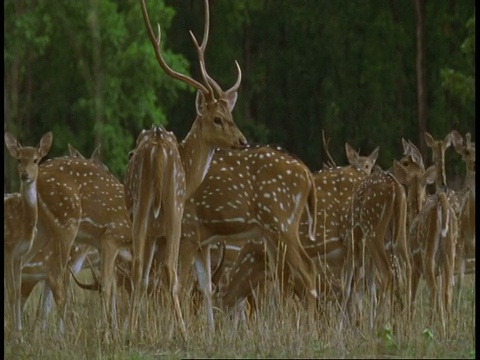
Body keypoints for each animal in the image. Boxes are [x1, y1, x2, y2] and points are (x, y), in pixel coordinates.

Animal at [124, 0, 246, 336]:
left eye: (231, 114)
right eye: (217, 118)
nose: (242, 140)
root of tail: (157, 150)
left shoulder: (156, 233)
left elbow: (144, 278)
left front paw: (137, 327)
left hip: (141, 207)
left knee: (139, 267)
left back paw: (127, 329)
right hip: (174, 208)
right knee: (170, 271)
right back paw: (182, 331)